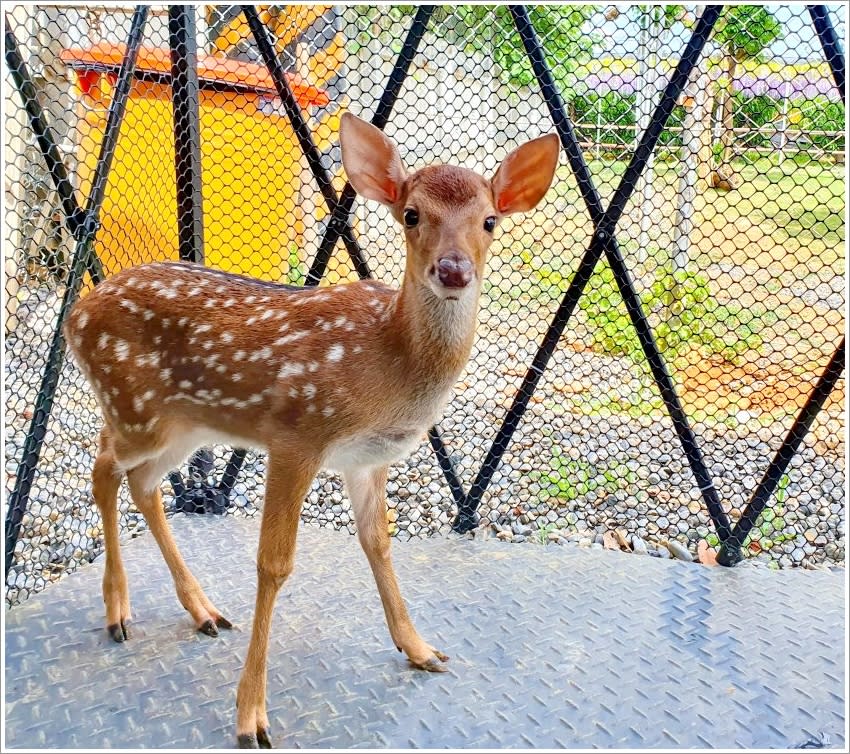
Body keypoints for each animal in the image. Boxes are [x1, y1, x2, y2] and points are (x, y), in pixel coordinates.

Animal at [63, 113, 560, 748]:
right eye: (412, 214)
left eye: (490, 221)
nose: (453, 270)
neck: (389, 361)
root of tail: (75, 316)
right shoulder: (296, 435)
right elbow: (273, 564)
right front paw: (251, 716)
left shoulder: (367, 459)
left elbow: (377, 541)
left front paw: (419, 648)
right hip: (135, 410)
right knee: (103, 468)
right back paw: (118, 610)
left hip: (183, 426)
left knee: (142, 484)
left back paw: (202, 610)